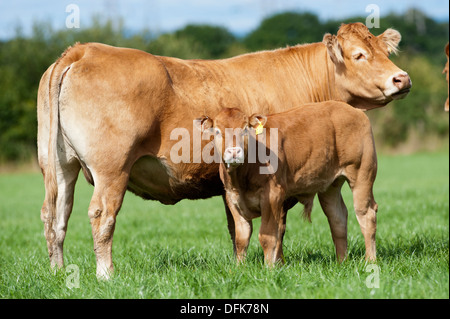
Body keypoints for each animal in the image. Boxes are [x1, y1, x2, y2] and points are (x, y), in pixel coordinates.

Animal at [199, 102, 378, 264]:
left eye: (244, 129)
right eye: (217, 131)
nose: (234, 151)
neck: (241, 179)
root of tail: (353, 109)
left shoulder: (272, 195)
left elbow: (268, 236)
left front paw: (269, 269)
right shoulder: (232, 197)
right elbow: (241, 239)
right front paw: (239, 268)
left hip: (362, 173)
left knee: (366, 215)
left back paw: (370, 261)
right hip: (330, 185)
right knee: (337, 217)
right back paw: (342, 262)